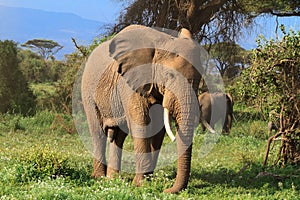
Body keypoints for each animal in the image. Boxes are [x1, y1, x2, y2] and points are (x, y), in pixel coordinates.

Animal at [81, 24, 210, 193]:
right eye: (169, 75)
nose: (166, 190)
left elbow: (158, 129)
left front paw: (149, 181)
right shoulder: (129, 83)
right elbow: (141, 123)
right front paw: (141, 184)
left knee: (119, 137)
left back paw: (112, 179)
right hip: (88, 91)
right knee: (98, 133)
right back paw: (99, 178)